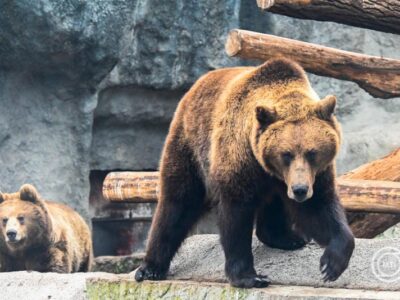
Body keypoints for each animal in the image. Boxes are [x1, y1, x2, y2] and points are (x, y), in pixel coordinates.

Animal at [136, 57, 354, 288]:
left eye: (312, 153)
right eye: (286, 154)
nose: (299, 190)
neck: (266, 166)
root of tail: (196, 85)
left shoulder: (315, 174)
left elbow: (319, 207)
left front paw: (332, 262)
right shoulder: (239, 158)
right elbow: (236, 214)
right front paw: (249, 276)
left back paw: (288, 238)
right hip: (190, 144)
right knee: (178, 200)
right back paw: (150, 268)